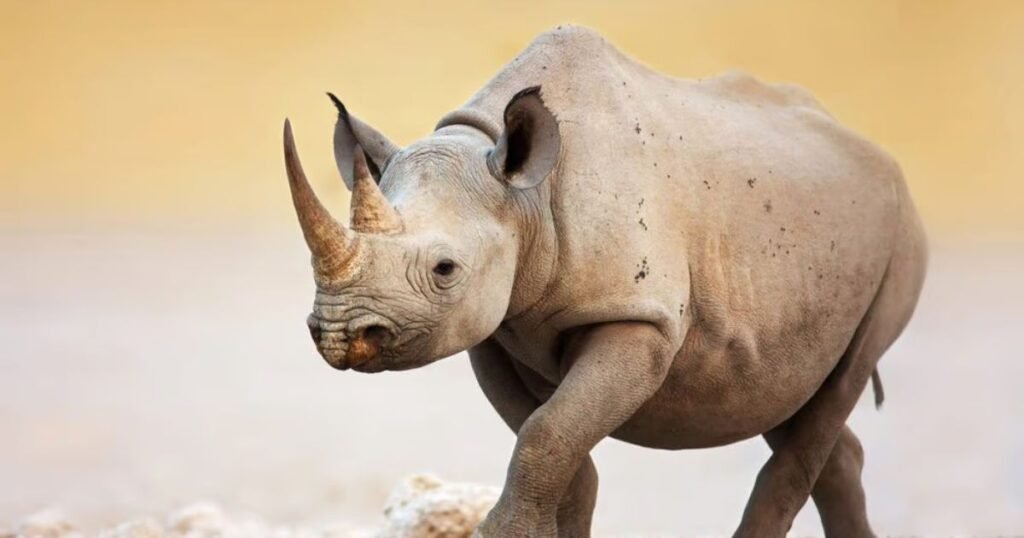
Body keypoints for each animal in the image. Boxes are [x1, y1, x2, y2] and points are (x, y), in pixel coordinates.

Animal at [282, 25, 927, 538]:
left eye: (445, 270)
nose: (340, 335)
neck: (524, 195)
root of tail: (877, 154)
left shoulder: (639, 318)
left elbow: (547, 432)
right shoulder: (493, 329)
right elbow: (557, 448)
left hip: (900, 242)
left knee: (839, 386)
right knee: (792, 401)